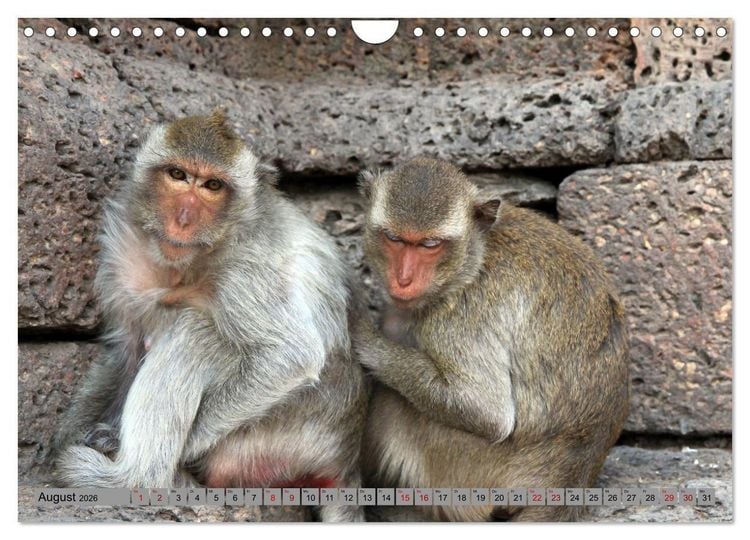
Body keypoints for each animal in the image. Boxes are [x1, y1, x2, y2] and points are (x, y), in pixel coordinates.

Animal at [50, 110, 367, 522]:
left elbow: (289, 357)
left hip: (274, 440)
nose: (183, 218)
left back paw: (136, 478)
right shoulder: (123, 248)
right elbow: (125, 346)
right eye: (178, 175)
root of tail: (344, 458)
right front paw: (71, 431)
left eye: (212, 186)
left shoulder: (246, 267)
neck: (188, 264)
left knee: (195, 332)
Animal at [353, 157, 629, 522]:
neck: (475, 256)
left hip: (466, 473)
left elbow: (487, 411)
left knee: (395, 401)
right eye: (394, 239)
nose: (404, 279)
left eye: (430, 245)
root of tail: (570, 480)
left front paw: (365, 340)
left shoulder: (463, 314)